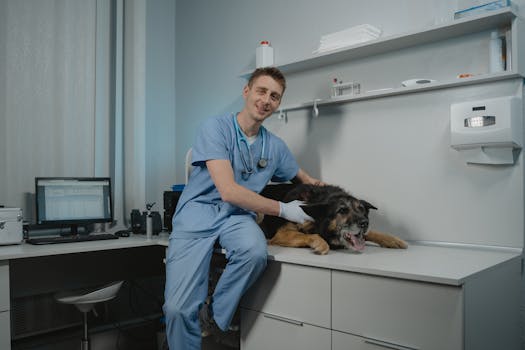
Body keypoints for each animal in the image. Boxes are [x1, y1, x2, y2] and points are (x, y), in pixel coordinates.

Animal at [258, 183, 406, 254]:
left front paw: (392, 239)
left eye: (361, 209)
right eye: (342, 210)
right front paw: (321, 243)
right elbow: (313, 235)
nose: (365, 223)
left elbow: (370, 233)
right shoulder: (282, 233)